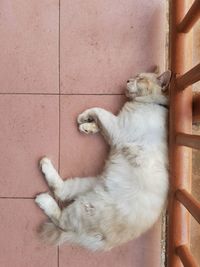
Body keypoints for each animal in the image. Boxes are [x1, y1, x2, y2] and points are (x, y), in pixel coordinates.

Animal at [35, 70, 171, 252]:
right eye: (135, 76)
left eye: (141, 78)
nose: (128, 80)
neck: (152, 103)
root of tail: (105, 244)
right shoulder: (114, 131)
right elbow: (100, 121)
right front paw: (87, 126)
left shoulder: (119, 129)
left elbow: (99, 110)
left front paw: (83, 118)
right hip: (86, 184)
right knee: (61, 191)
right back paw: (45, 164)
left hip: (84, 208)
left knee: (61, 219)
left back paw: (44, 200)